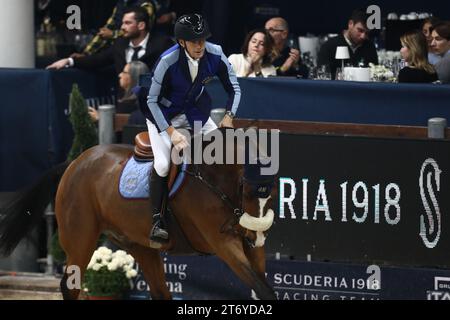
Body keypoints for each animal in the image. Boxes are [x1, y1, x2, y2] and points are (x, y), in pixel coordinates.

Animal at [0, 127, 278, 300]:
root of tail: (75, 163)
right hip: (81, 241)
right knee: (70, 287)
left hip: (140, 245)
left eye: (272, 193)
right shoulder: (223, 243)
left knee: (160, 292)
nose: (256, 237)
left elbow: (266, 288)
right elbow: (262, 289)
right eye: (247, 191)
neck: (214, 178)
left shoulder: (251, 247)